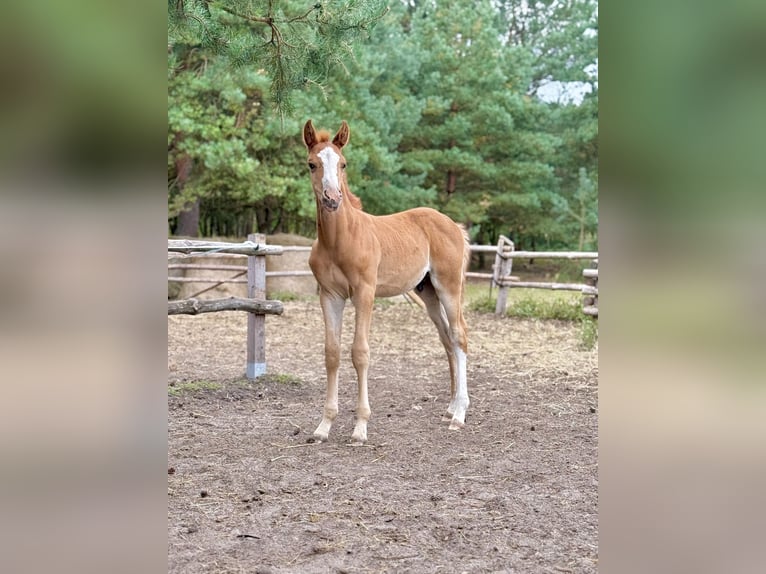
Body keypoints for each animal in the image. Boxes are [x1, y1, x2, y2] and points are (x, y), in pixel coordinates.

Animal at [303, 119, 470, 444]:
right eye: (312, 164)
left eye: (343, 163)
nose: (332, 199)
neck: (340, 240)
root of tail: (454, 226)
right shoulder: (329, 295)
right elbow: (332, 353)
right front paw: (323, 426)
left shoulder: (365, 294)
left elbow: (360, 352)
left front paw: (360, 428)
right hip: (428, 292)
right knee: (446, 340)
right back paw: (450, 407)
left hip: (449, 286)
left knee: (459, 337)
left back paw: (459, 415)